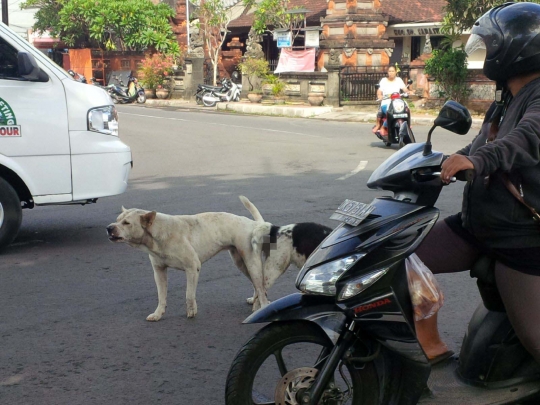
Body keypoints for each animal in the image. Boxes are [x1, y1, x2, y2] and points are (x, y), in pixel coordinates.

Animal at [106, 197, 272, 320]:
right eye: (117, 219)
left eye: (126, 223)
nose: (109, 227)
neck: (157, 234)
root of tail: (253, 223)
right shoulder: (159, 272)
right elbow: (161, 296)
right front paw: (158, 314)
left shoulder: (192, 268)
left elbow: (189, 294)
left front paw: (191, 311)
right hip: (240, 263)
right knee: (257, 286)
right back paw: (256, 302)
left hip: (251, 263)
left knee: (260, 286)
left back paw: (263, 306)